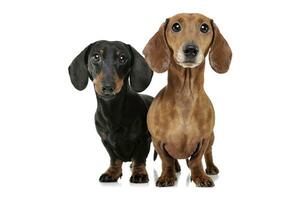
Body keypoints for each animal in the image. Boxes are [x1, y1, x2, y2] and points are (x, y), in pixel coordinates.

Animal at [68, 40, 152, 183]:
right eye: (96, 56)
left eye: (122, 58)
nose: (108, 87)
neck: (113, 110)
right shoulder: (106, 141)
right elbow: (115, 159)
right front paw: (112, 173)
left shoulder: (143, 139)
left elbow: (139, 158)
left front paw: (139, 173)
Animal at [143, 13, 232, 187]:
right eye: (176, 26)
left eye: (204, 27)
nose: (191, 50)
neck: (186, 95)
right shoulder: (157, 141)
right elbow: (166, 160)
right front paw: (167, 176)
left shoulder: (204, 139)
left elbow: (197, 159)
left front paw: (199, 176)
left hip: (212, 137)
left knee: (208, 153)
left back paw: (210, 168)